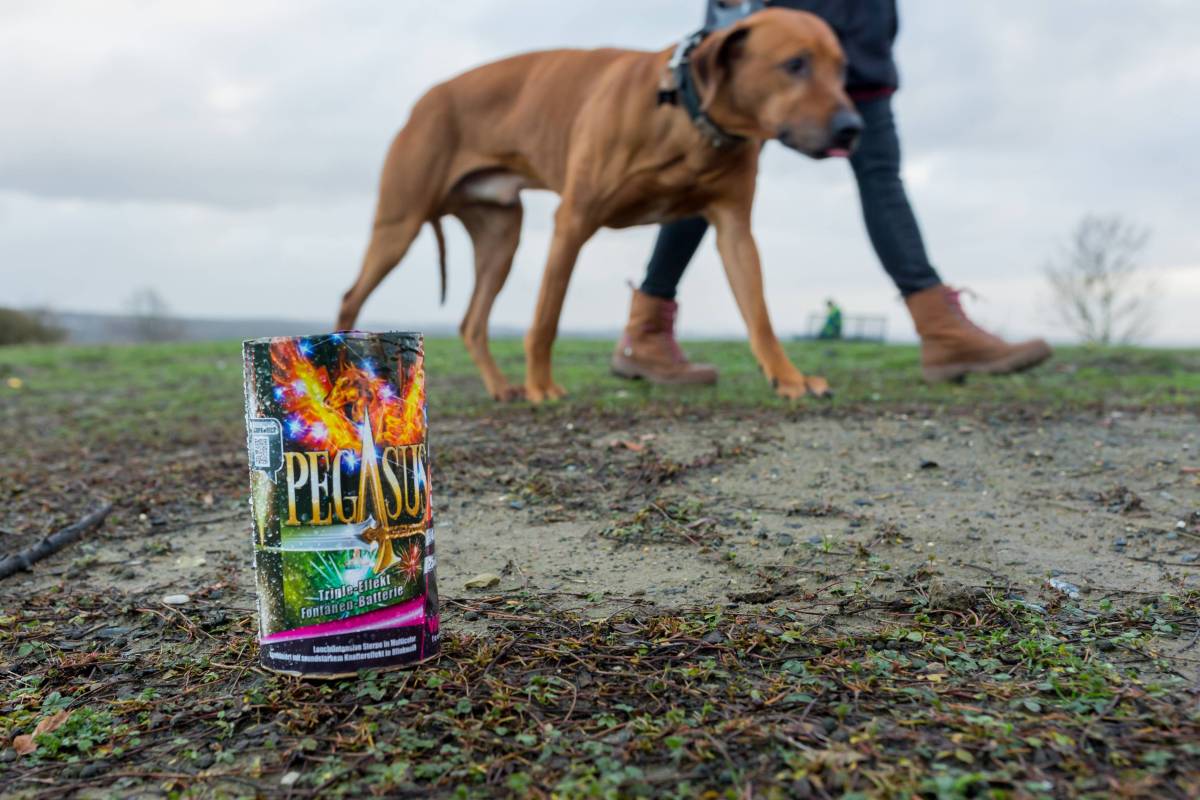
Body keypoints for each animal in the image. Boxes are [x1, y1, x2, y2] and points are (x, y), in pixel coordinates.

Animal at [338, 7, 864, 400]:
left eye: (843, 70)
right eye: (795, 64)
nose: (852, 128)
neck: (686, 116)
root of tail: (423, 101)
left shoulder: (735, 230)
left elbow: (760, 314)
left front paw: (789, 376)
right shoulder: (572, 220)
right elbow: (546, 317)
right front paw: (542, 387)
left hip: (500, 239)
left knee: (471, 323)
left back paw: (501, 387)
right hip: (398, 227)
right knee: (351, 297)